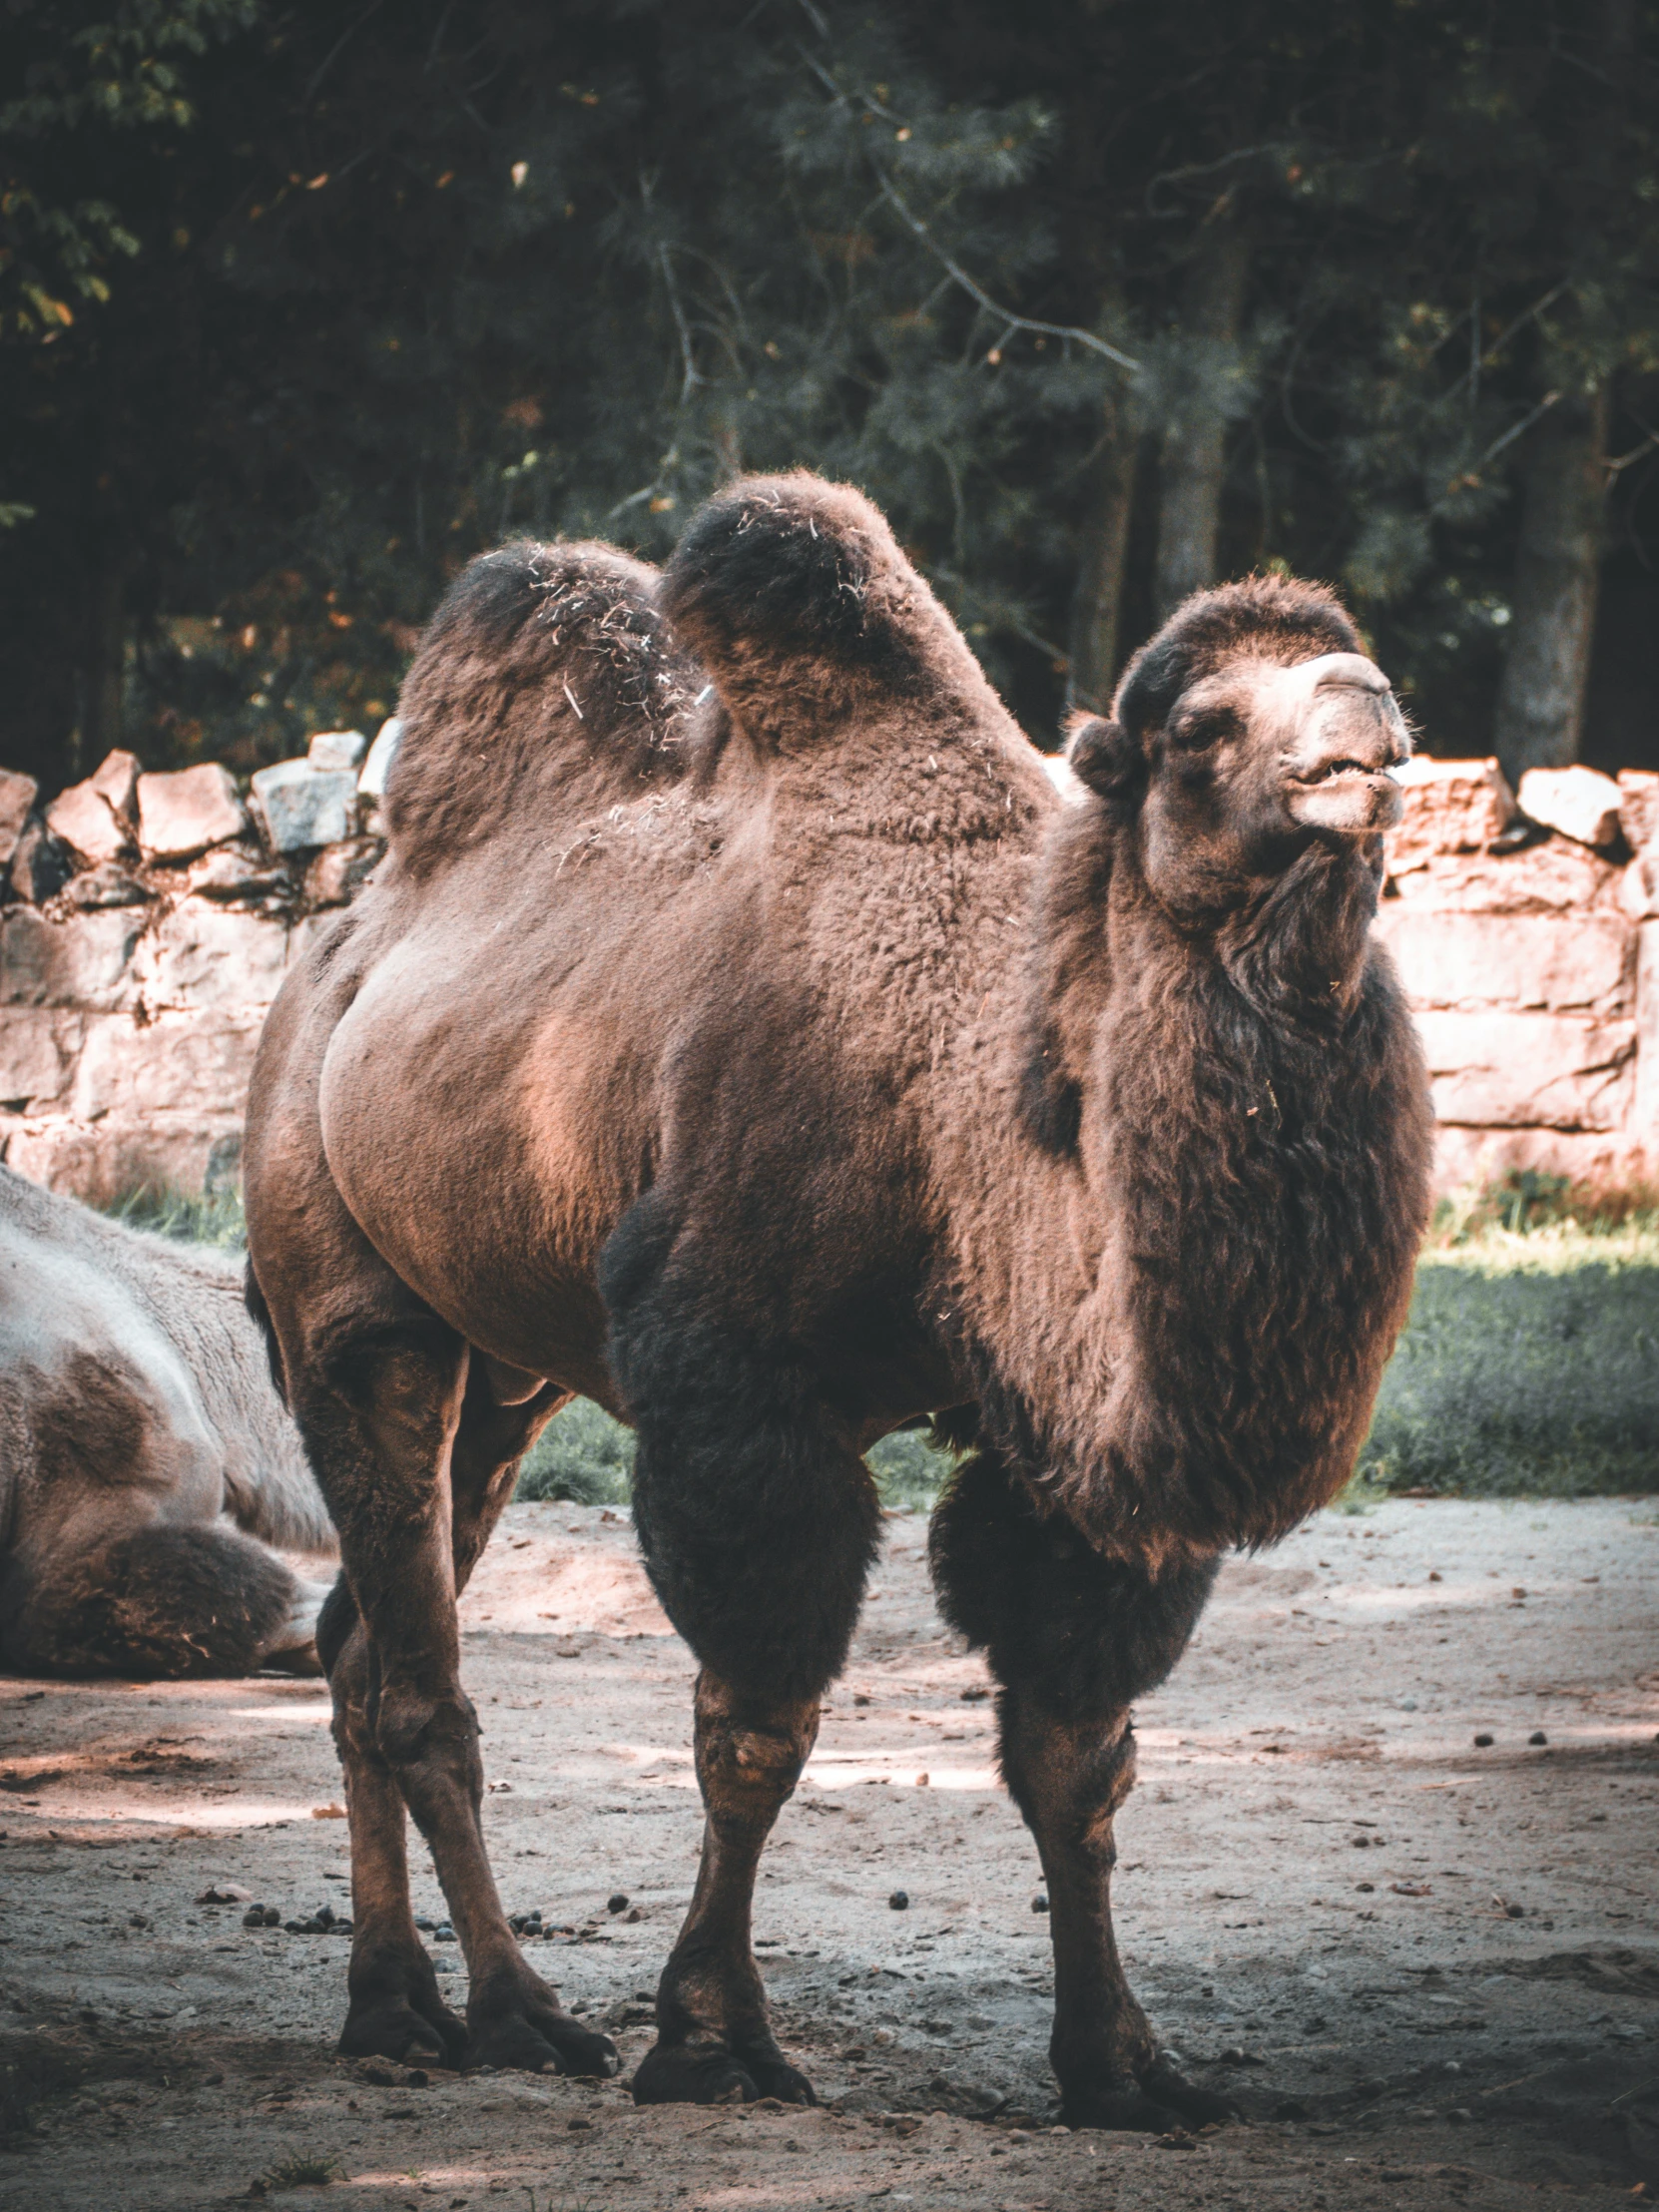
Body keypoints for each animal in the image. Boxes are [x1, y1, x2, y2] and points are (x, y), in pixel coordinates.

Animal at [240, 479, 1432, 2123]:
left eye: (1352, 664)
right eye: (1201, 724)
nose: (1368, 715)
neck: (963, 1101)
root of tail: (330, 956)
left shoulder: (1069, 1449)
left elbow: (1075, 1749)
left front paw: (1123, 2062)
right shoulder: (737, 1378)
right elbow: (757, 1727)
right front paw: (713, 2037)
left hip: (506, 1371)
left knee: (364, 1642)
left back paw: (393, 2007)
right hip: (346, 1295)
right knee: (419, 1668)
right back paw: (514, 2015)